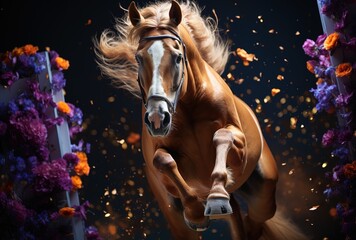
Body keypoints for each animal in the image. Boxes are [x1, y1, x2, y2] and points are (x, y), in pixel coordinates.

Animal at [96, 0, 308, 239]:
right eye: (139, 58)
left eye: (178, 57)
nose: (157, 118)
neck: (190, 104)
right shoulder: (163, 158)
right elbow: (163, 160)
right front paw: (196, 211)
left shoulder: (239, 148)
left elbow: (222, 136)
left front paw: (216, 195)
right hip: (179, 223)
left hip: (263, 195)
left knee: (254, 221)